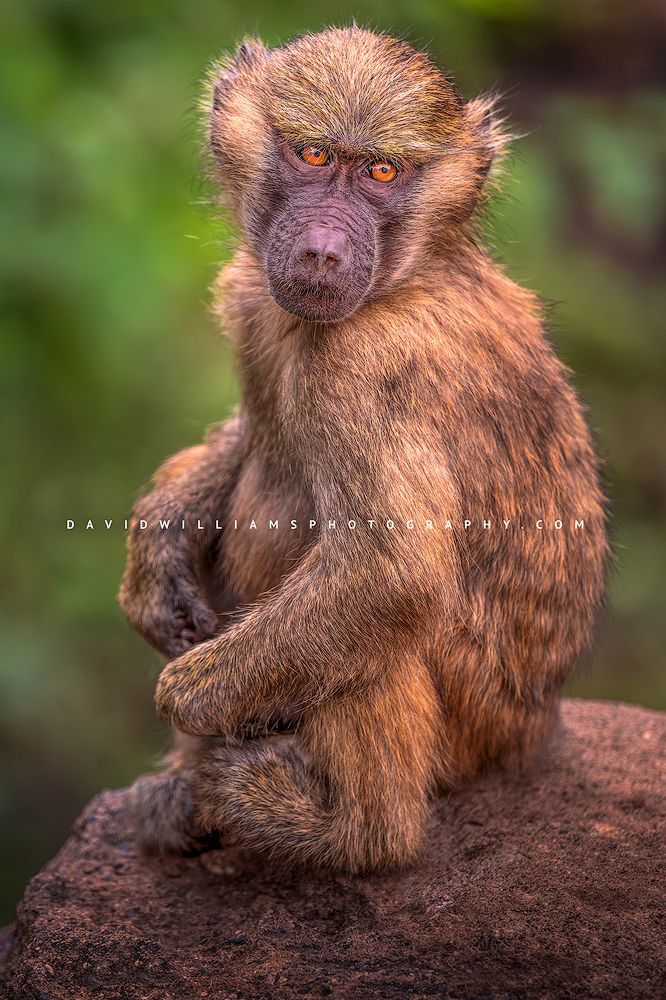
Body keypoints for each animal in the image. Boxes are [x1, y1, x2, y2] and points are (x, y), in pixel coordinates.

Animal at [119, 27, 609, 873]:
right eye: (313, 155)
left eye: (382, 172)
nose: (322, 251)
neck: (409, 274)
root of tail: (532, 733)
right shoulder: (253, 301)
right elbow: (252, 429)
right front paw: (160, 547)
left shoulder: (362, 367)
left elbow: (392, 571)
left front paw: (187, 699)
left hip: (468, 724)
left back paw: (345, 831)